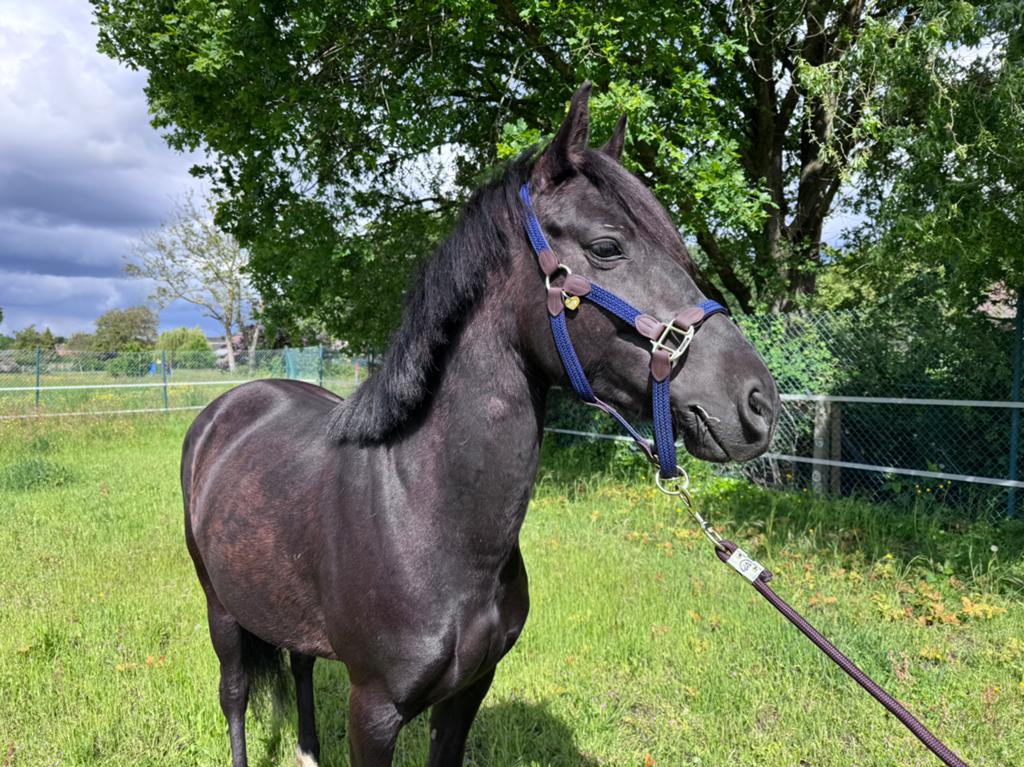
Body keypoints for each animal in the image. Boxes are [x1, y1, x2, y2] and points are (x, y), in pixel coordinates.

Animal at [181, 83, 779, 767]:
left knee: (301, 666)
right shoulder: (373, 711)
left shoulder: (468, 693)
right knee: (234, 696)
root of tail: (230, 406)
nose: (758, 402)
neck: (424, 515)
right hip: (221, 609)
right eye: (606, 247)